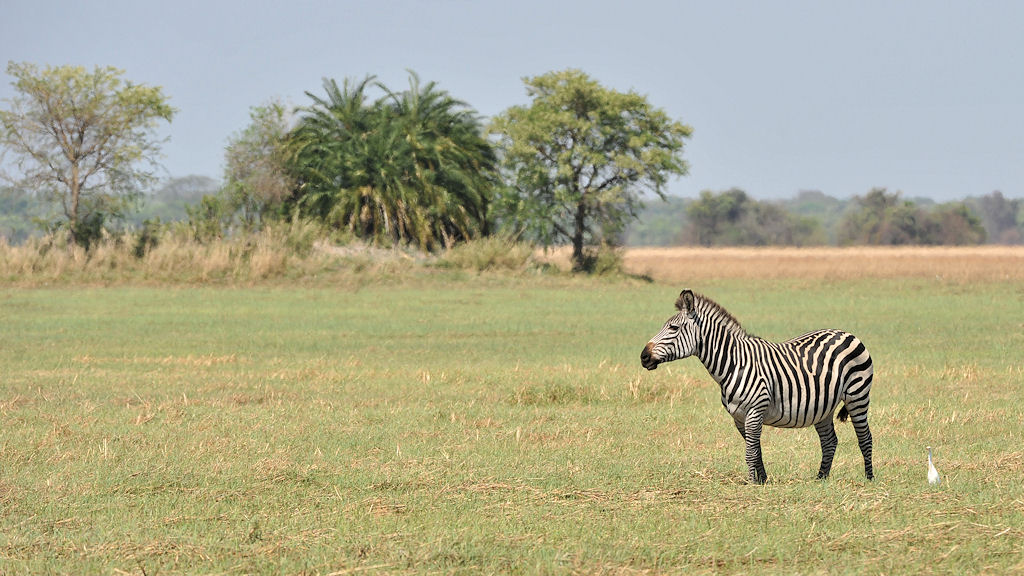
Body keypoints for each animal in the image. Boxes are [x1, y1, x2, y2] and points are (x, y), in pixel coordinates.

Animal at [640, 290, 874, 484]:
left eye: (673, 328)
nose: (643, 357)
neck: (733, 363)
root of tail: (847, 333)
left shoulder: (755, 411)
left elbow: (750, 452)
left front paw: (752, 483)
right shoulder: (739, 417)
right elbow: (755, 450)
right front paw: (762, 480)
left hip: (857, 397)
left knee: (865, 437)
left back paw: (869, 478)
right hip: (823, 406)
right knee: (829, 441)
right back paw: (820, 479)